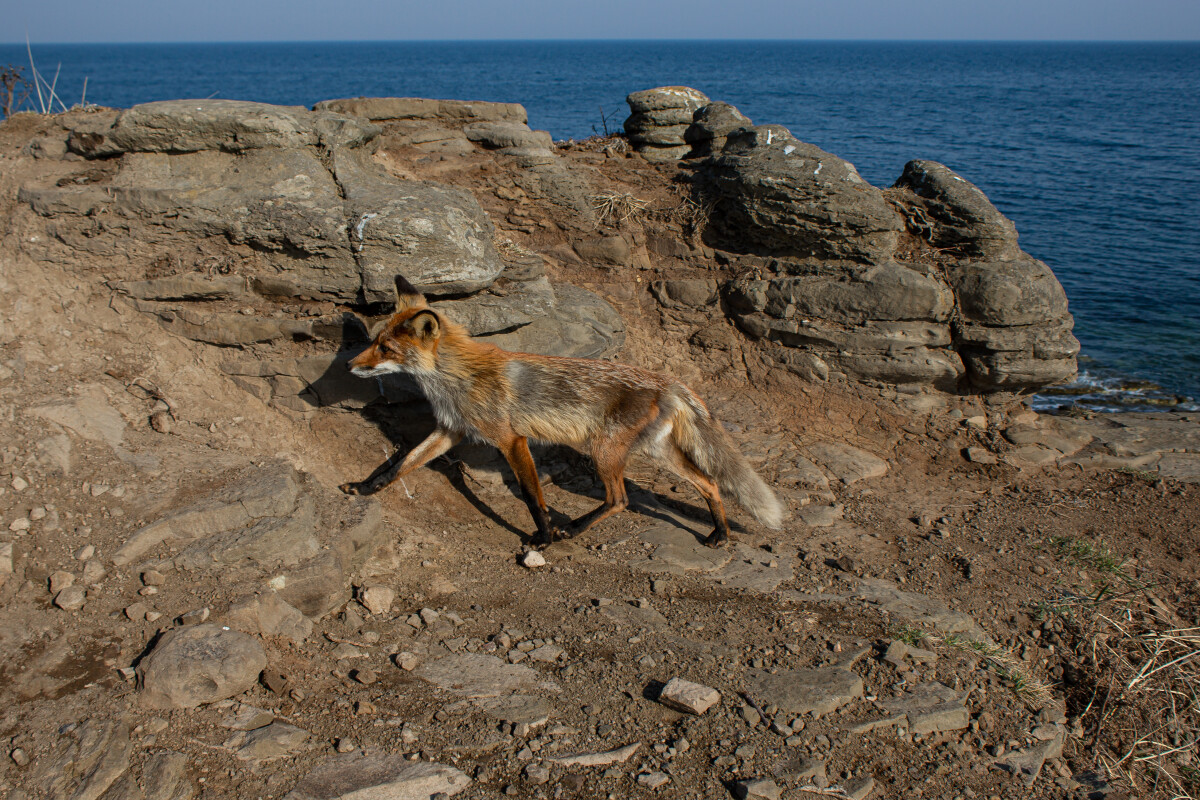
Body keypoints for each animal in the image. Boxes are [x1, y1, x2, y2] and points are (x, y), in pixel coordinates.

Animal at [343, 277, 782, 551]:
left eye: (385, 349)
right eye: (375, 342)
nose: (349, 365)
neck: (456, 378)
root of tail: (668, 380)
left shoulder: (511, 440)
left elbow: (532, 497)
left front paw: (544, 537)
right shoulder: (450, 430)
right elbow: (399, 465)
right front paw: (363, 489)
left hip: (604, 451)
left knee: (620, 500)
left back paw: (572, 527)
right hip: (657, 453)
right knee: (709, 484)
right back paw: (720, 534)